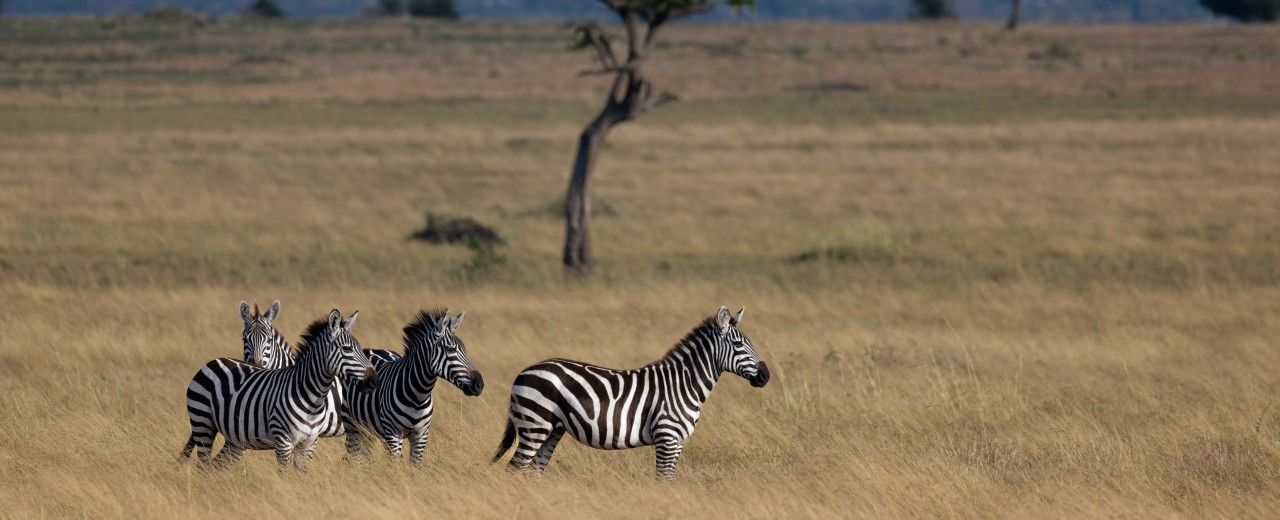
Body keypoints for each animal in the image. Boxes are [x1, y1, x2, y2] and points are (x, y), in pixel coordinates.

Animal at [181, 308, 378, 471]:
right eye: (347, 349)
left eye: (269, 340)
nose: (374, 380)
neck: (311, 395)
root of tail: (213, 361)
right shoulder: (284, 442)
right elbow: (286, 476)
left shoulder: (309, 443)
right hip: (203, 422)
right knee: (204, 465)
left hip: (234, 436)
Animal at [343, 308, 486, 463]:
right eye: (451, 349)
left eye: (465, 349)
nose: (479, 384)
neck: (418, 396)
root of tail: (372, 349)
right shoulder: (394, 434)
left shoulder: (420, 436)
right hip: (353, 426)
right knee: (356, 453)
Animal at [488, 304, 768, 479]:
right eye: (738, 344)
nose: (766, 376)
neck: (682, 384)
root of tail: (524, 371)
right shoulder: (667, 438)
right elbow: (663, 482)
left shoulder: (677, 443)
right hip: (534, 424)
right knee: (514, 469)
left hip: (552, 430)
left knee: (531, 471)